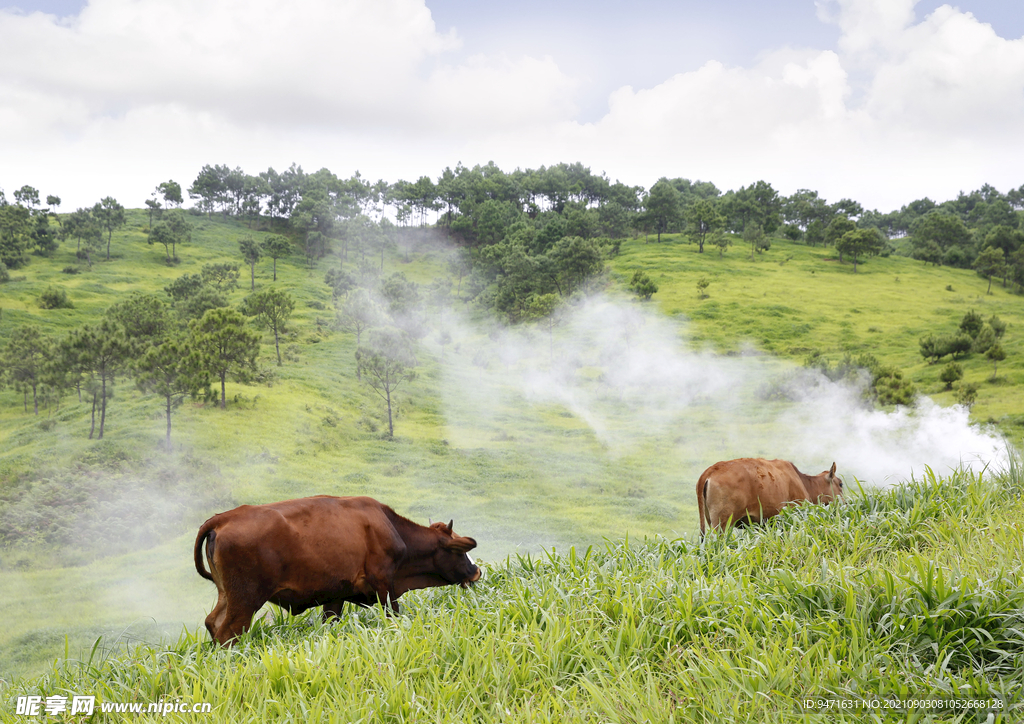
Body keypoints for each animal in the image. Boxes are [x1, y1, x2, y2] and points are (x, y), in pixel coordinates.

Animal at [193, 497, 481, 647]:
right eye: (458, 551)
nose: (476, 571)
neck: (391, 530)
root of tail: (222, 518)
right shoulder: (385, 587)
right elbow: (394, 615)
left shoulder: (335, 596)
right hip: (246, 601)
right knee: (227, 633)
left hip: (227, 596)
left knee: (212, 622)